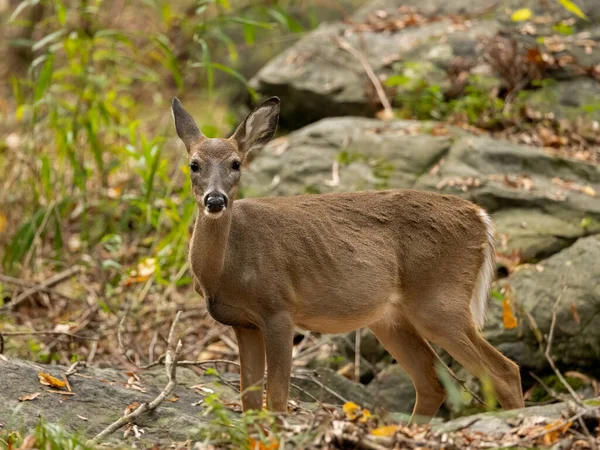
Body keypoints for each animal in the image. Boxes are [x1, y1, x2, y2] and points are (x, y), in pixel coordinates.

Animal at [171, 95, 524, 418]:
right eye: (194, 164)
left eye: (236, 163)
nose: (215, 200)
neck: (227, 268)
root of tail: (481, 218)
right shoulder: (244, 324)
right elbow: (250, 401)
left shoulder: (278, 310)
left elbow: (277, 399)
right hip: (390, 318)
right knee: (432, 382)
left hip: (440, 300)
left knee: (505, 371)